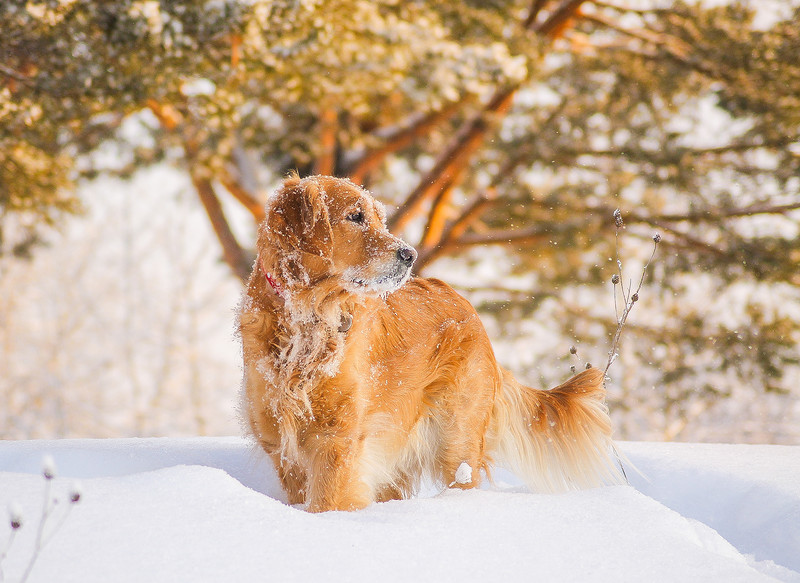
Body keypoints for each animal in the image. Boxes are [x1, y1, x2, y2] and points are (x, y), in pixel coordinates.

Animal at [238, 173, 624, 512]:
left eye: (379, 219)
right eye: (355, 216)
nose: (409, 254)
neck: (308, 318)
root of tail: (466, 305)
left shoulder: (338, 441)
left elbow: (329, 501)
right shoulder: (282, 445)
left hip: (457, 440)